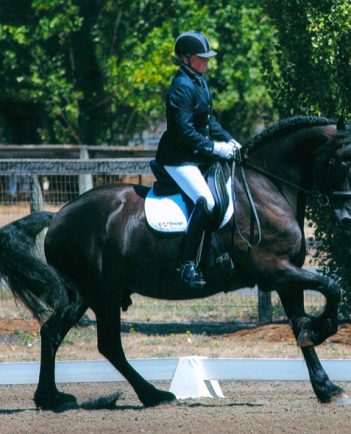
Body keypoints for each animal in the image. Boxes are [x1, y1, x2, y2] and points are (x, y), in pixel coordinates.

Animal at [0, 116, 351, 410]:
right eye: (344, 161)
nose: (346, 218)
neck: (268, 187)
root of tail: (58, 216)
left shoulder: (285, 276)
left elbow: (299, 324)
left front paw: (326, 386)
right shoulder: (275, 269)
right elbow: (331, 287)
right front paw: (321, 332)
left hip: (87, 294)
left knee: (55, 332)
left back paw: (53, 398)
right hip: (102, 292)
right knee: (106, 343)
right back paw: (152, 395)